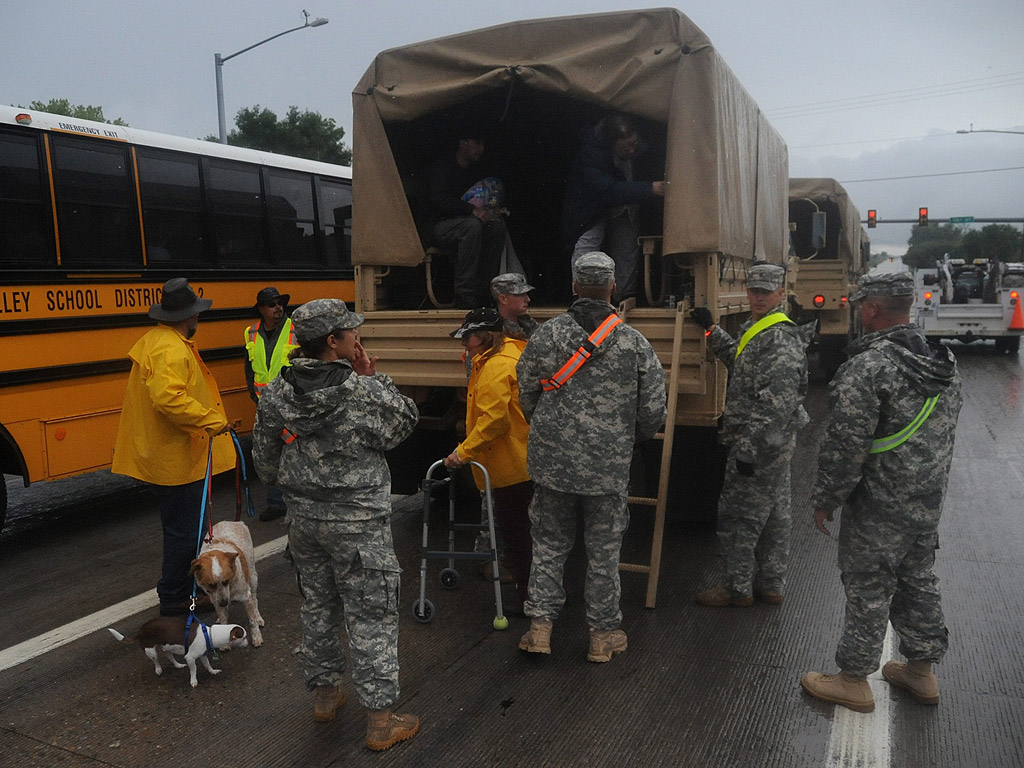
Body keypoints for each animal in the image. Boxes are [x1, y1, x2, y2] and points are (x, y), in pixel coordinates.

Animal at [106, 618, 247, 688]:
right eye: (244, 637)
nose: (247, 643)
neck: (209, 634)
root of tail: (140, 630)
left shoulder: (202, 655)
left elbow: (207, 665)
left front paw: (213, 671)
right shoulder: (190, 658)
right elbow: (194, 670)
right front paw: (193, 681)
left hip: (167, 646)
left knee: (169, 656)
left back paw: (178, 665)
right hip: (150, 650)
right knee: (156, 660)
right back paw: (158, 669)